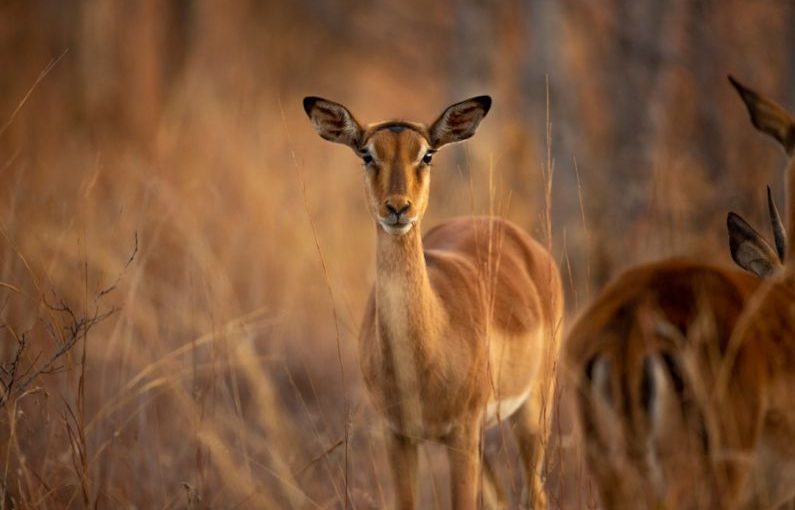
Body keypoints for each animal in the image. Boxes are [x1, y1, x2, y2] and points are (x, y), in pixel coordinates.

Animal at [302, 96, 564, 510]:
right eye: (366, 154)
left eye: (426, 154)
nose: (398, 208)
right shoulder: (398, 434)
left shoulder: (461, 433)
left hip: (532, 410)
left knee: (535, 494)